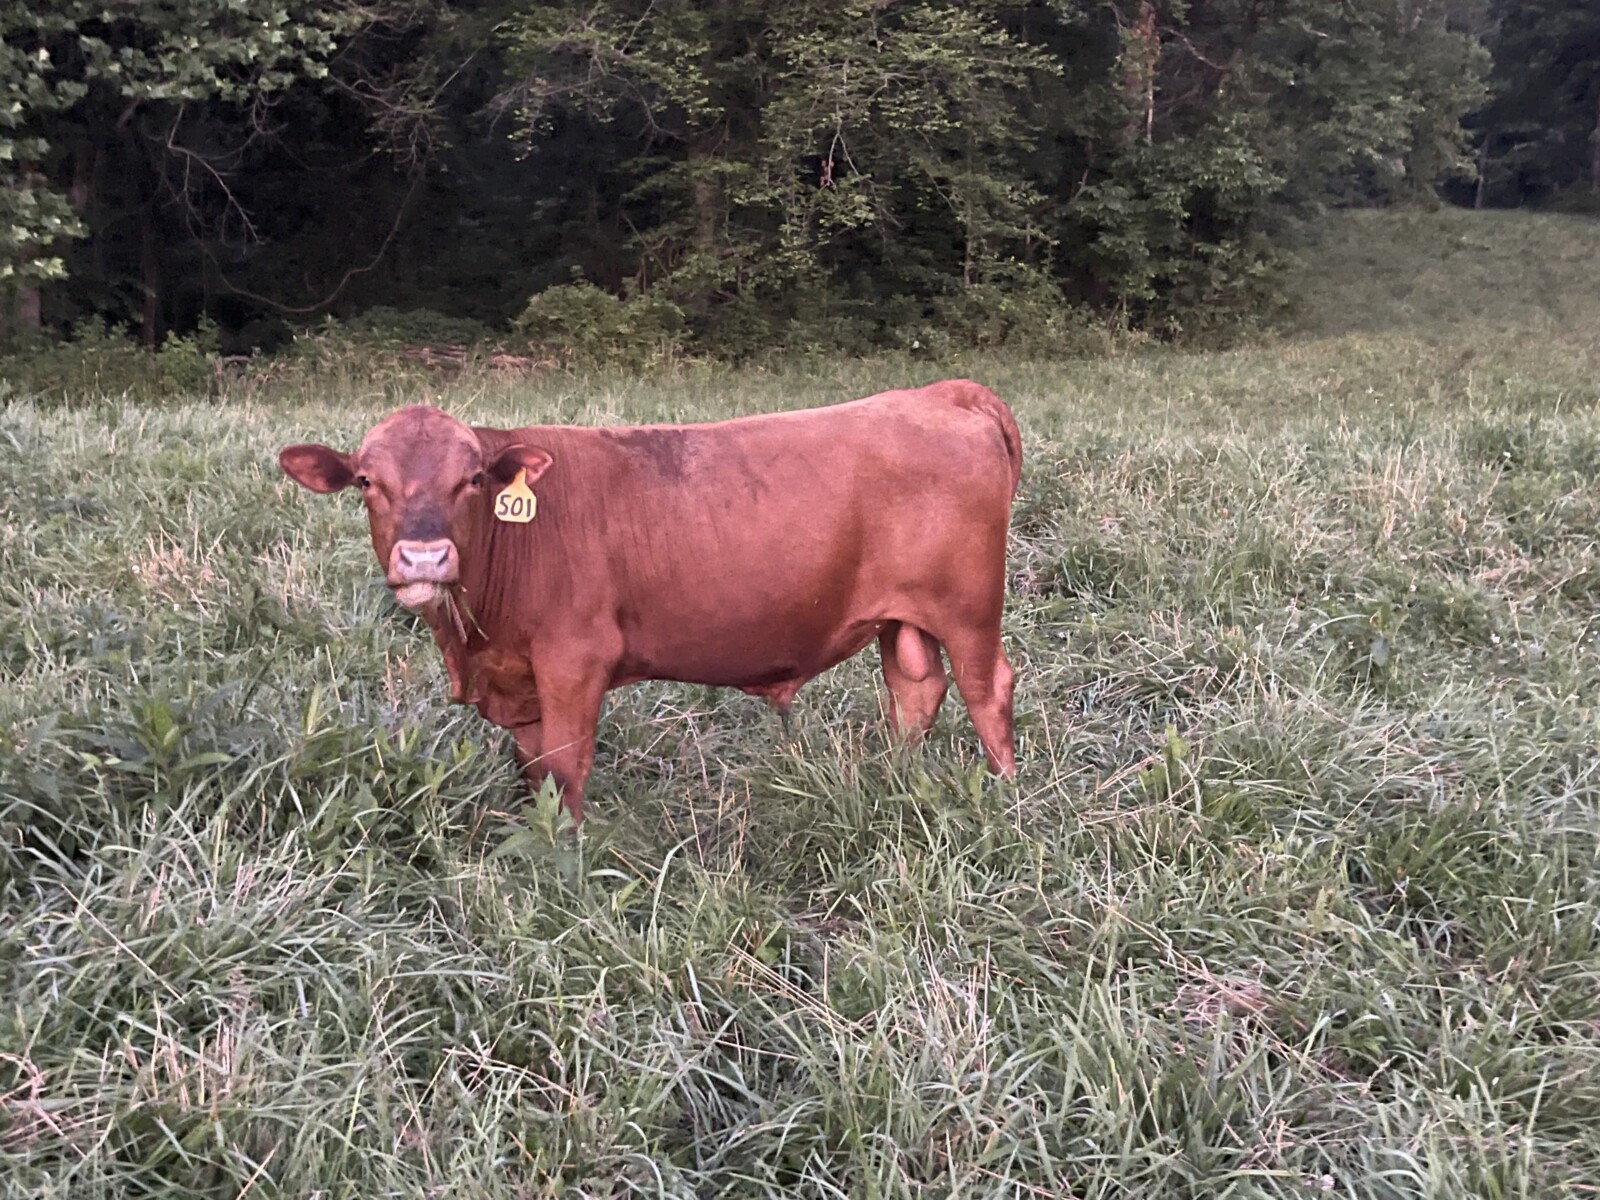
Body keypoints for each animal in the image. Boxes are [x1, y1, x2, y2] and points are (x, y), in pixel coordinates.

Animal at [278, 379, 1021, 822]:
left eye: (473, 479)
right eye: (366, 481)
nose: (425, 556)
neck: (477, 642)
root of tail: (940, 393)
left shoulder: (574, 661)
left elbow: (566, 766)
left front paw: (565, 864)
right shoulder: (520, 680)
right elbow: (532, 770)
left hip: (969, 607)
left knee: (988, 689)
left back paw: (1006, 798)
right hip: (901, 616)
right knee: (915, 688)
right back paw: (895, 780)